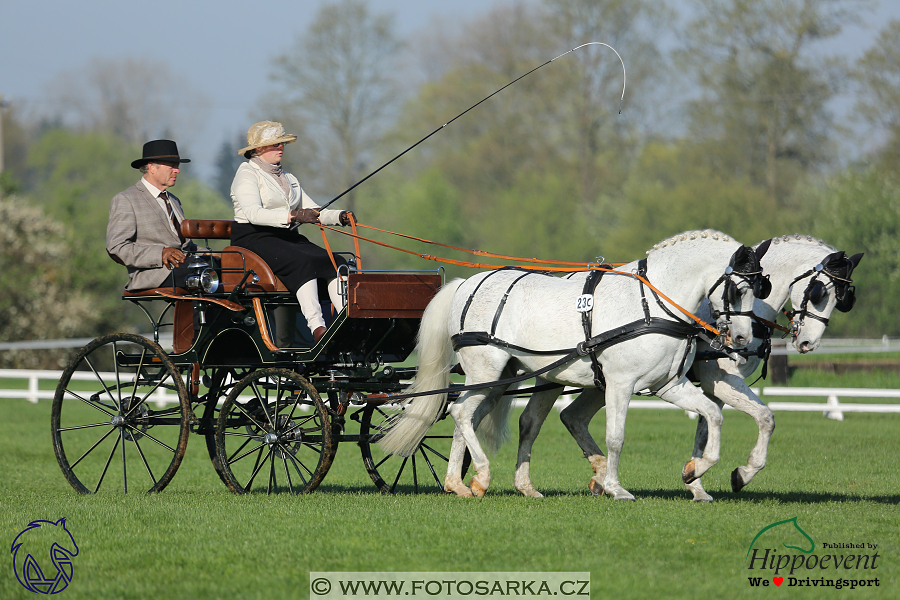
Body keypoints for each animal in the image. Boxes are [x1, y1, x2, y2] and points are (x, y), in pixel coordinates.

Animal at [382, 227, 772, 500]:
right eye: (738, 288)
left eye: (761, 288)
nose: (742, 339)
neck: (654, 302)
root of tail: (467, 283)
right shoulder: (621, 383)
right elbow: (616, 437)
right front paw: (615, 487)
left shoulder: (668, 385)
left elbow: (713, 415)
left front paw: (696, 471)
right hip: (484, 370)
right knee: (461, 412)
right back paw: (480, 473)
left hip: (502, 376)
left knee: (473, 418)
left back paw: (464, 483)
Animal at [684, 234, 864, 502]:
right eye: (819, 293)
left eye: (843, 300)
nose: (809, 343)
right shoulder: (720, 380)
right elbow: (766, 417)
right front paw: (744, 473)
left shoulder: (713, 388)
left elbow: (704, 431)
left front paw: (695, 480)